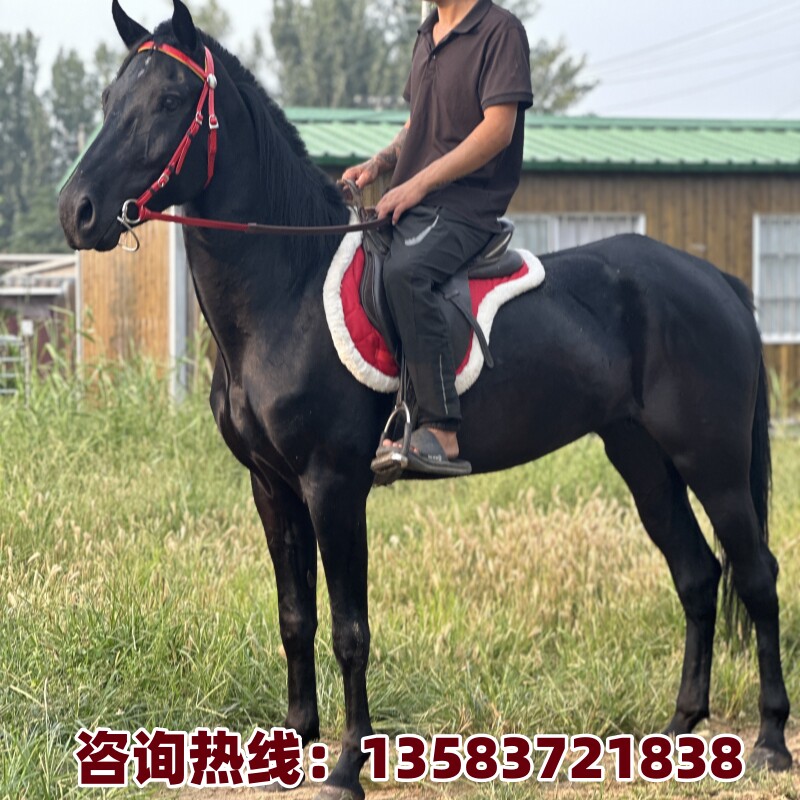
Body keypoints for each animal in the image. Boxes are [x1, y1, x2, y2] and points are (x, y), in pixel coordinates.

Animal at [59, 1, 792, 795]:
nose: (78, 212)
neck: (286, 287)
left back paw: (771, 740)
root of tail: (714, 281)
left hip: (712, 462)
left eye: (169, 100)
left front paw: (347, 764)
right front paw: (296, 746)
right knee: (697, 574)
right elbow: (295, 620)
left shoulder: (334, 485)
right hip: (642, 458)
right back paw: (679, 730)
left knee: (756, 576)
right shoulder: (271, 486)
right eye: (109, 100)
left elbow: (349, 630)